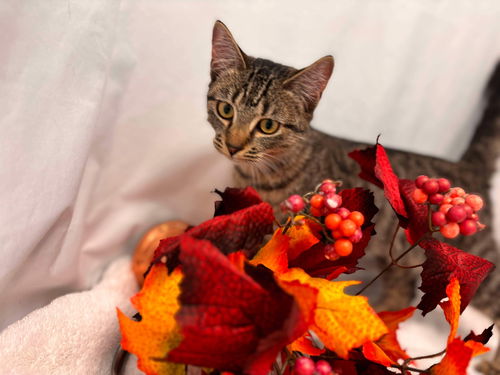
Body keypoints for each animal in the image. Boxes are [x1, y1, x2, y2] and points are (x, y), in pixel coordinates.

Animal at [205, 21, 498, 374]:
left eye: (268, 126)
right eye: (225, 110)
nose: (233, 146)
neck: (265, 175)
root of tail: (468, 164)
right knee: (402, 290)